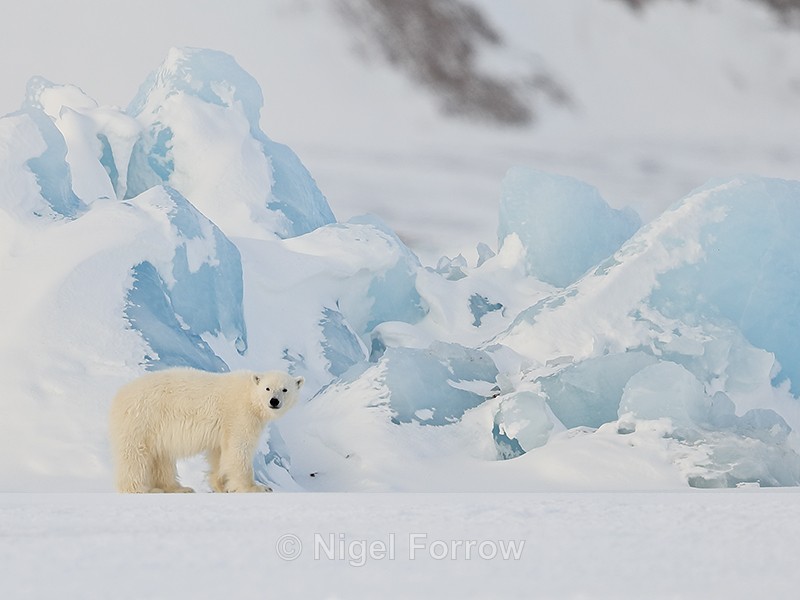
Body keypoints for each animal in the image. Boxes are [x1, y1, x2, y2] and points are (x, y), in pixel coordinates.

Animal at [109, 367, 303, 493]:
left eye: (285, 389)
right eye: (267, 388)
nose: (274, 401)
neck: (249, 396)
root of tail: (119, 395)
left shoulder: (223, 429)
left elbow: (219, 453)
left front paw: (221, 486)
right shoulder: (239, 416)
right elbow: (238, 450)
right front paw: (256, 487)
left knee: (162, 458)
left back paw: (178, 488)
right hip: (143, 420)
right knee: (136, 456)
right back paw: (141, 489)